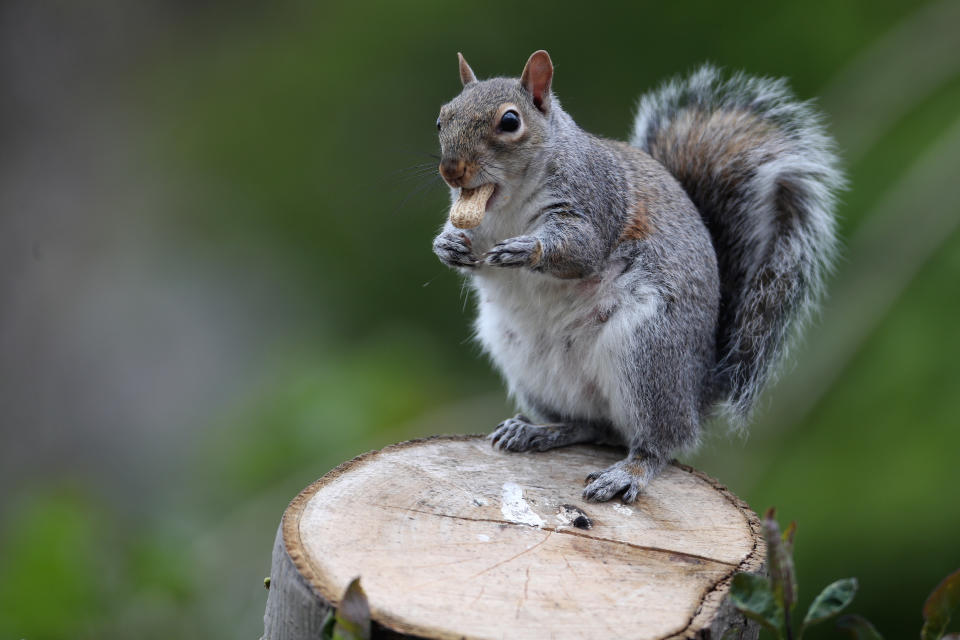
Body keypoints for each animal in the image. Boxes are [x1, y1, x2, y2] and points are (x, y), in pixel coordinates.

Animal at [430, 50, 840, 502]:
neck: (507, 203)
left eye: (509, 121)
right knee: (594, 426)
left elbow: (582, 250)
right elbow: (461, 237)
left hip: (648, 352)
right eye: (441, 118)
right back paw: (538, 431)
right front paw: (447, 245)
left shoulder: (594, 199)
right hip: (522, 359)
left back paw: (628, 471)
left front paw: (526, 249)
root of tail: (698, 390)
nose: (451, 171)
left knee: (660, 442)